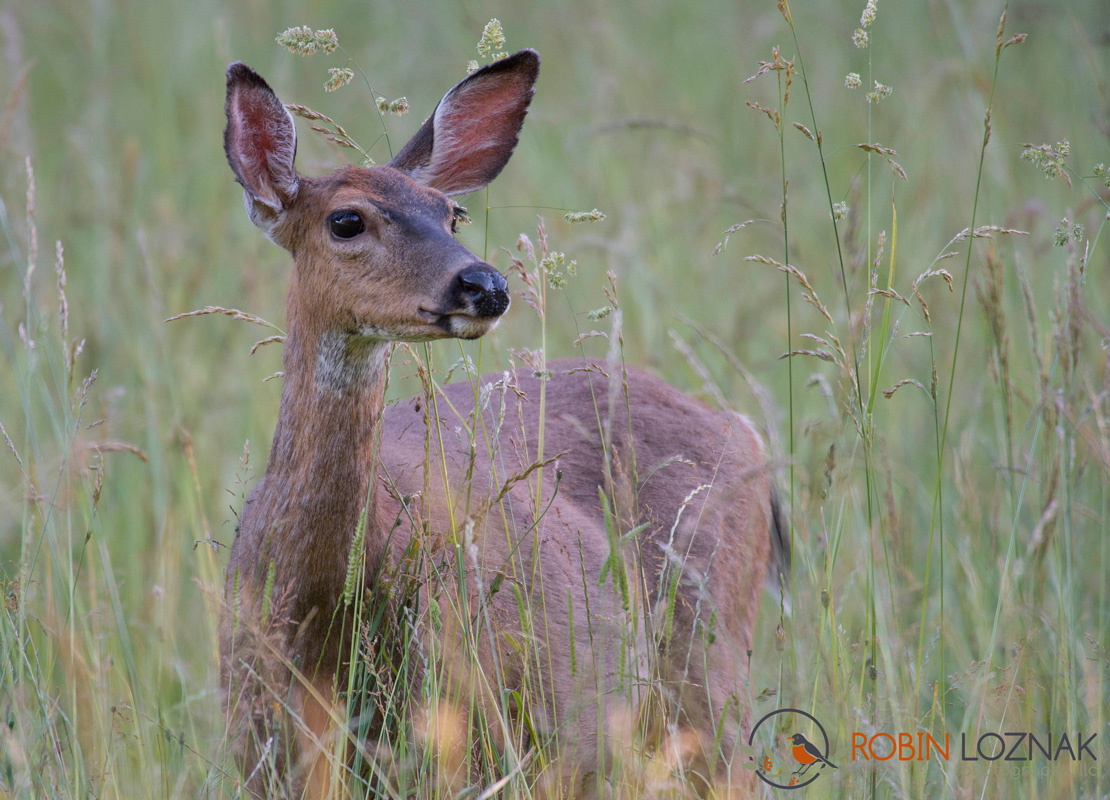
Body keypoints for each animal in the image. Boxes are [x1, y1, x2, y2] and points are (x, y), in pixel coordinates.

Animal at [219, 48, 783, 799]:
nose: (484, 285)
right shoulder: (258, 748)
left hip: (709, 673)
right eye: (346, 221)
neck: (316, 618)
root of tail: (742, 427)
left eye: (452, 212)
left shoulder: (470, 737)